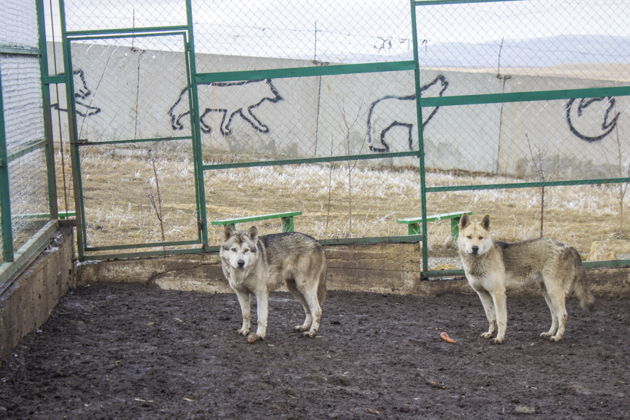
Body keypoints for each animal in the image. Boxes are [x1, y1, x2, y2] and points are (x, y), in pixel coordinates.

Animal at [456, 215, 596, 342]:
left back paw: (557, 337)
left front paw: (499, 338)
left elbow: (501, 319)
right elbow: (491, 317)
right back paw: (549, 333)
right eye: (469, 237)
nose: (475, 248)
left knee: (563, 315)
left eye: (481, 238)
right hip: (547, 294)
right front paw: (490, 333)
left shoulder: (498, 294)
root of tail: (568, 247)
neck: (478, 261)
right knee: (555, 316)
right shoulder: (482, 294)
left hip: (554, 293)